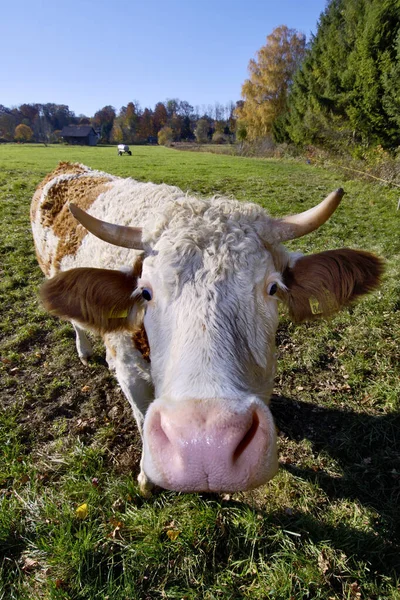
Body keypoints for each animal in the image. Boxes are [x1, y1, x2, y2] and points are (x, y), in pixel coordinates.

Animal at [30, 162, 382, 494]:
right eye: (146, 292)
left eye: (272, 288)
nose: (205, 447)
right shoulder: (128, 372)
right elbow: (143, 419)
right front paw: (146, 476)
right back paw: (84, 350)